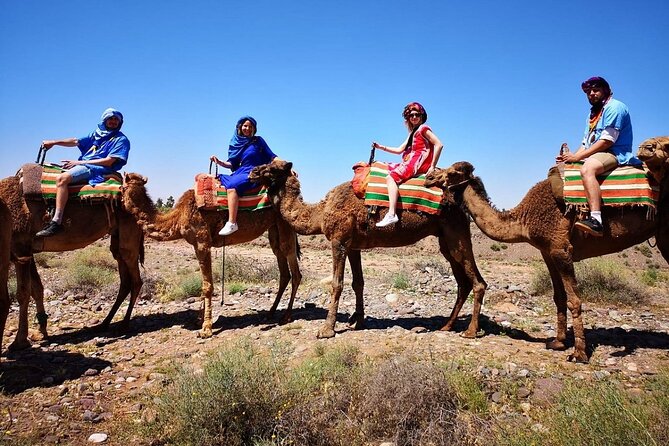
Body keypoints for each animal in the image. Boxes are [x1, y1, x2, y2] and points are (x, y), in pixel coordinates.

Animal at [0, 172, 145, 352]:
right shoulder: (28, 252)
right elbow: (37, 289)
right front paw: (41, 332)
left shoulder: (21, 249)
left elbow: (23, 293)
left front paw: (19, 342)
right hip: (117, 237)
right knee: (124, 280)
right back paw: (104, 323)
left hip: (129, 233)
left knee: (135, 279)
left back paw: (124, 325)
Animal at [120, 173, 301, 338]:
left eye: (121, 187)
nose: (117, 199)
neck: (177, 217)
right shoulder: (197, 244)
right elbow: (204, 284)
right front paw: (198, 321)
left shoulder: (202, 241)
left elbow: (207, 286)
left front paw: (206, 328)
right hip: (274, 228)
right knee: (283, 266)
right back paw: (271, 312)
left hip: (285, 222)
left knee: (293, 266)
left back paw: (286, 316)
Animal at [248, 159, 487, 339]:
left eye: (273, 168)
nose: (252, 172)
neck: (320, 212)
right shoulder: (354, 246)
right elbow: (358, 283)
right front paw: (358, 321)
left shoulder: (339, 241)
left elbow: (337, 284)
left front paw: (326, 330)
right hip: (446, 239)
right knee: (463, 282)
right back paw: (446, 326)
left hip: (456, 231)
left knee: (477, 282)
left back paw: (470, 331)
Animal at [424, 159, 669, 362]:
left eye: (452, 172)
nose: (429, 177)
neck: (524, 220)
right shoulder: (547, 252)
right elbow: (559, 297)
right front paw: (558, 342)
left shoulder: (561, 248)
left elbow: (574, 299)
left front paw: (579, 354)